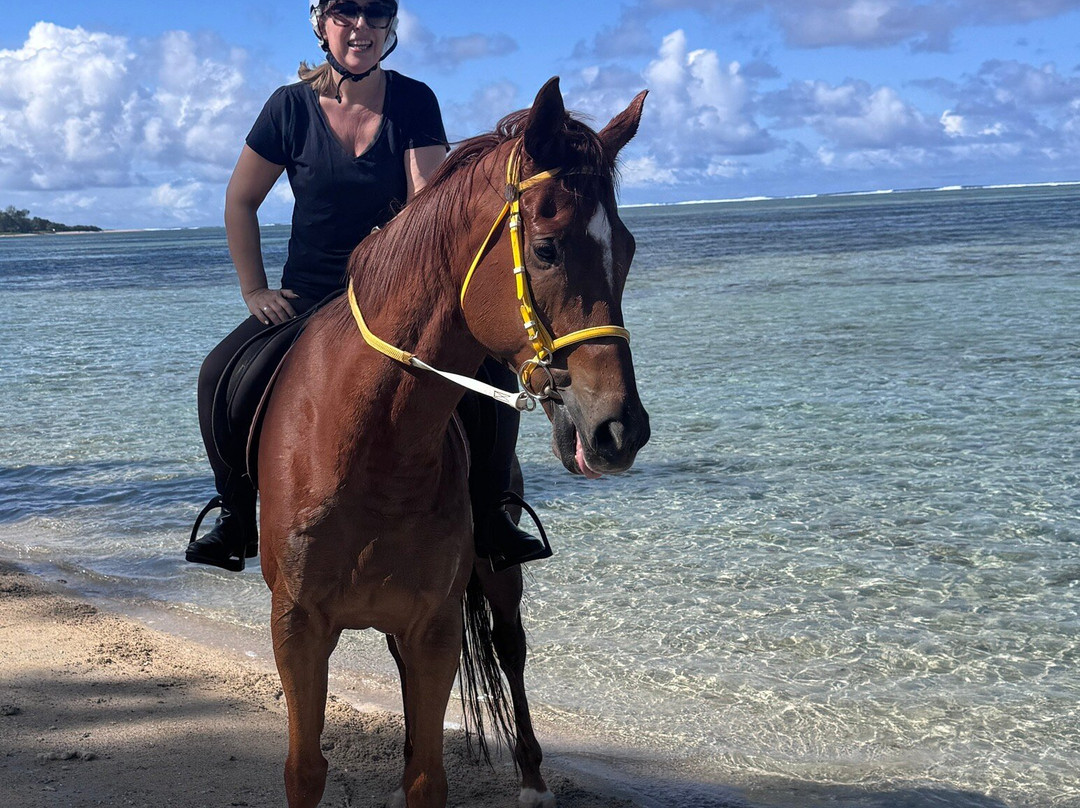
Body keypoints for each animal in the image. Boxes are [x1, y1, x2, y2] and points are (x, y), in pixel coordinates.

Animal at [257, 77, 650, 808]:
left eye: (629, 248)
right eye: (547, 249)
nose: (620, 430)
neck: (377, 447)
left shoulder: (433, 627)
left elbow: (428, 778)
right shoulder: (297, 628)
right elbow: (305, 769)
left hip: (498, 577)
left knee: (510, 647)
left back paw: (532, 778)